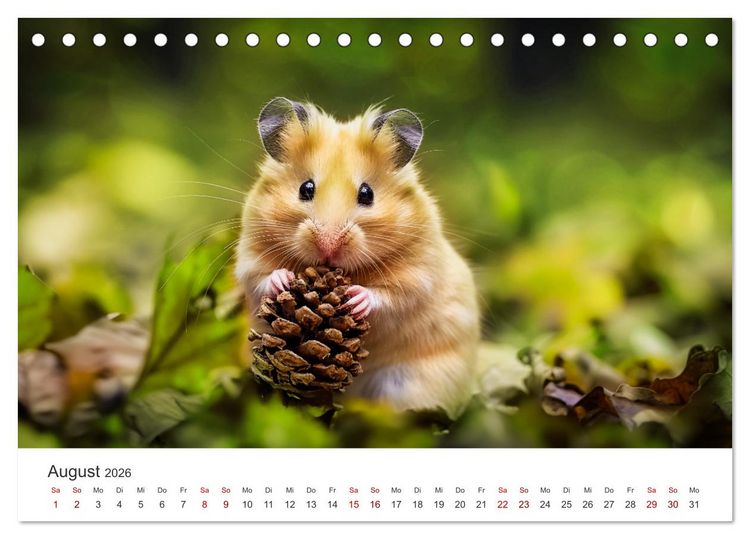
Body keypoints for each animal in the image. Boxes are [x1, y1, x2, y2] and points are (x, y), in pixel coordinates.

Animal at [235, 97, 480, 418]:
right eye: (306, 188)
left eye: (367, 194)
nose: (328, 246)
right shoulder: (249, 257)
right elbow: (261, 277)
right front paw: (283, 278)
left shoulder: (419, 274)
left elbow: (393, 297)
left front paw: (355, 298)